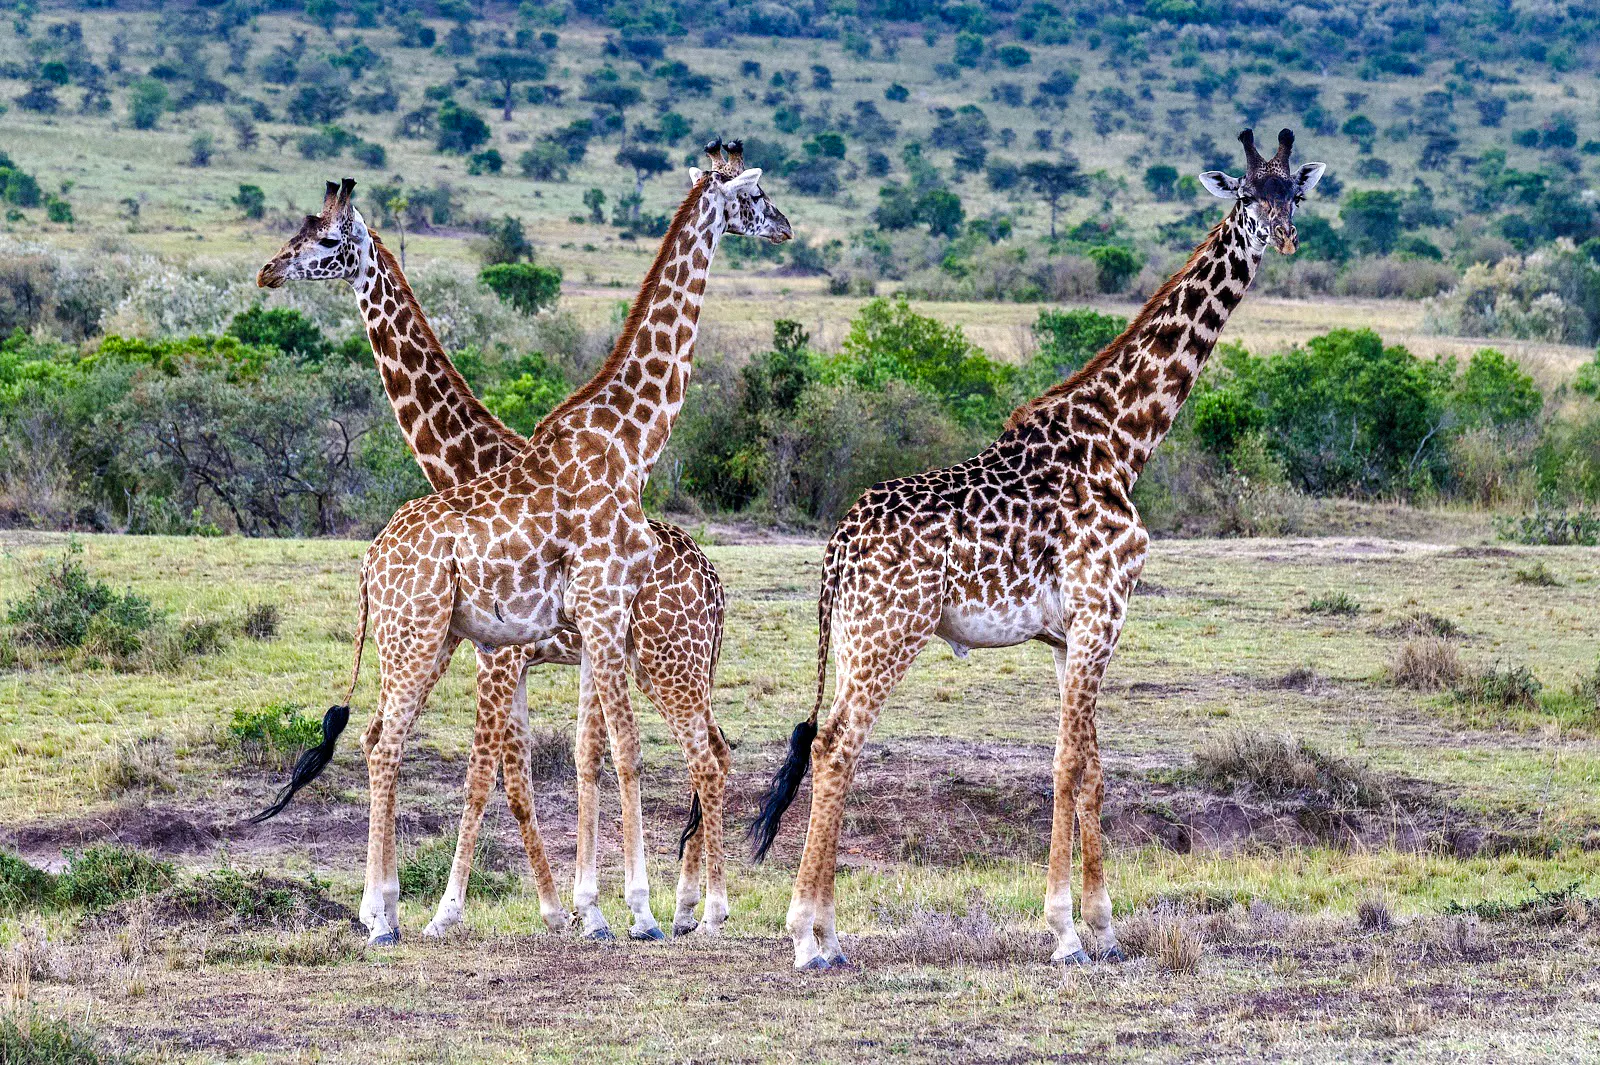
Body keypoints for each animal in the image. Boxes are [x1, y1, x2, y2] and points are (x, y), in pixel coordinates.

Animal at [259, 143, 790, 945]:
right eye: (756, 195)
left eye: (322, 239)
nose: (266, 271)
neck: (627, 442)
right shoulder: (532, 641)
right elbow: (541, 767)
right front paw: (589, 909)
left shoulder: (555, 634)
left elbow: (578, 758)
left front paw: (588, 908)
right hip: (437, 640)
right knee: (385, 740)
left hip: (644, 655)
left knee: (710, 751)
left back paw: (694, 907)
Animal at [750, 129, 1324, 970]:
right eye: (1247, 196)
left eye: (1295, 193)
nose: (1282, 237)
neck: (1121, 440)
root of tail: (836, 551)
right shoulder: (1102, 613)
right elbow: (1065, 763)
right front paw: (1064, 932)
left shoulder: (1068, 632)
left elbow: (1092, 769)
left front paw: (1106, 928)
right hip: (890, 632)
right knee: (835, 748)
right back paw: (807, 938)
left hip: (857, 634)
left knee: (829, 746)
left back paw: (828, 933)